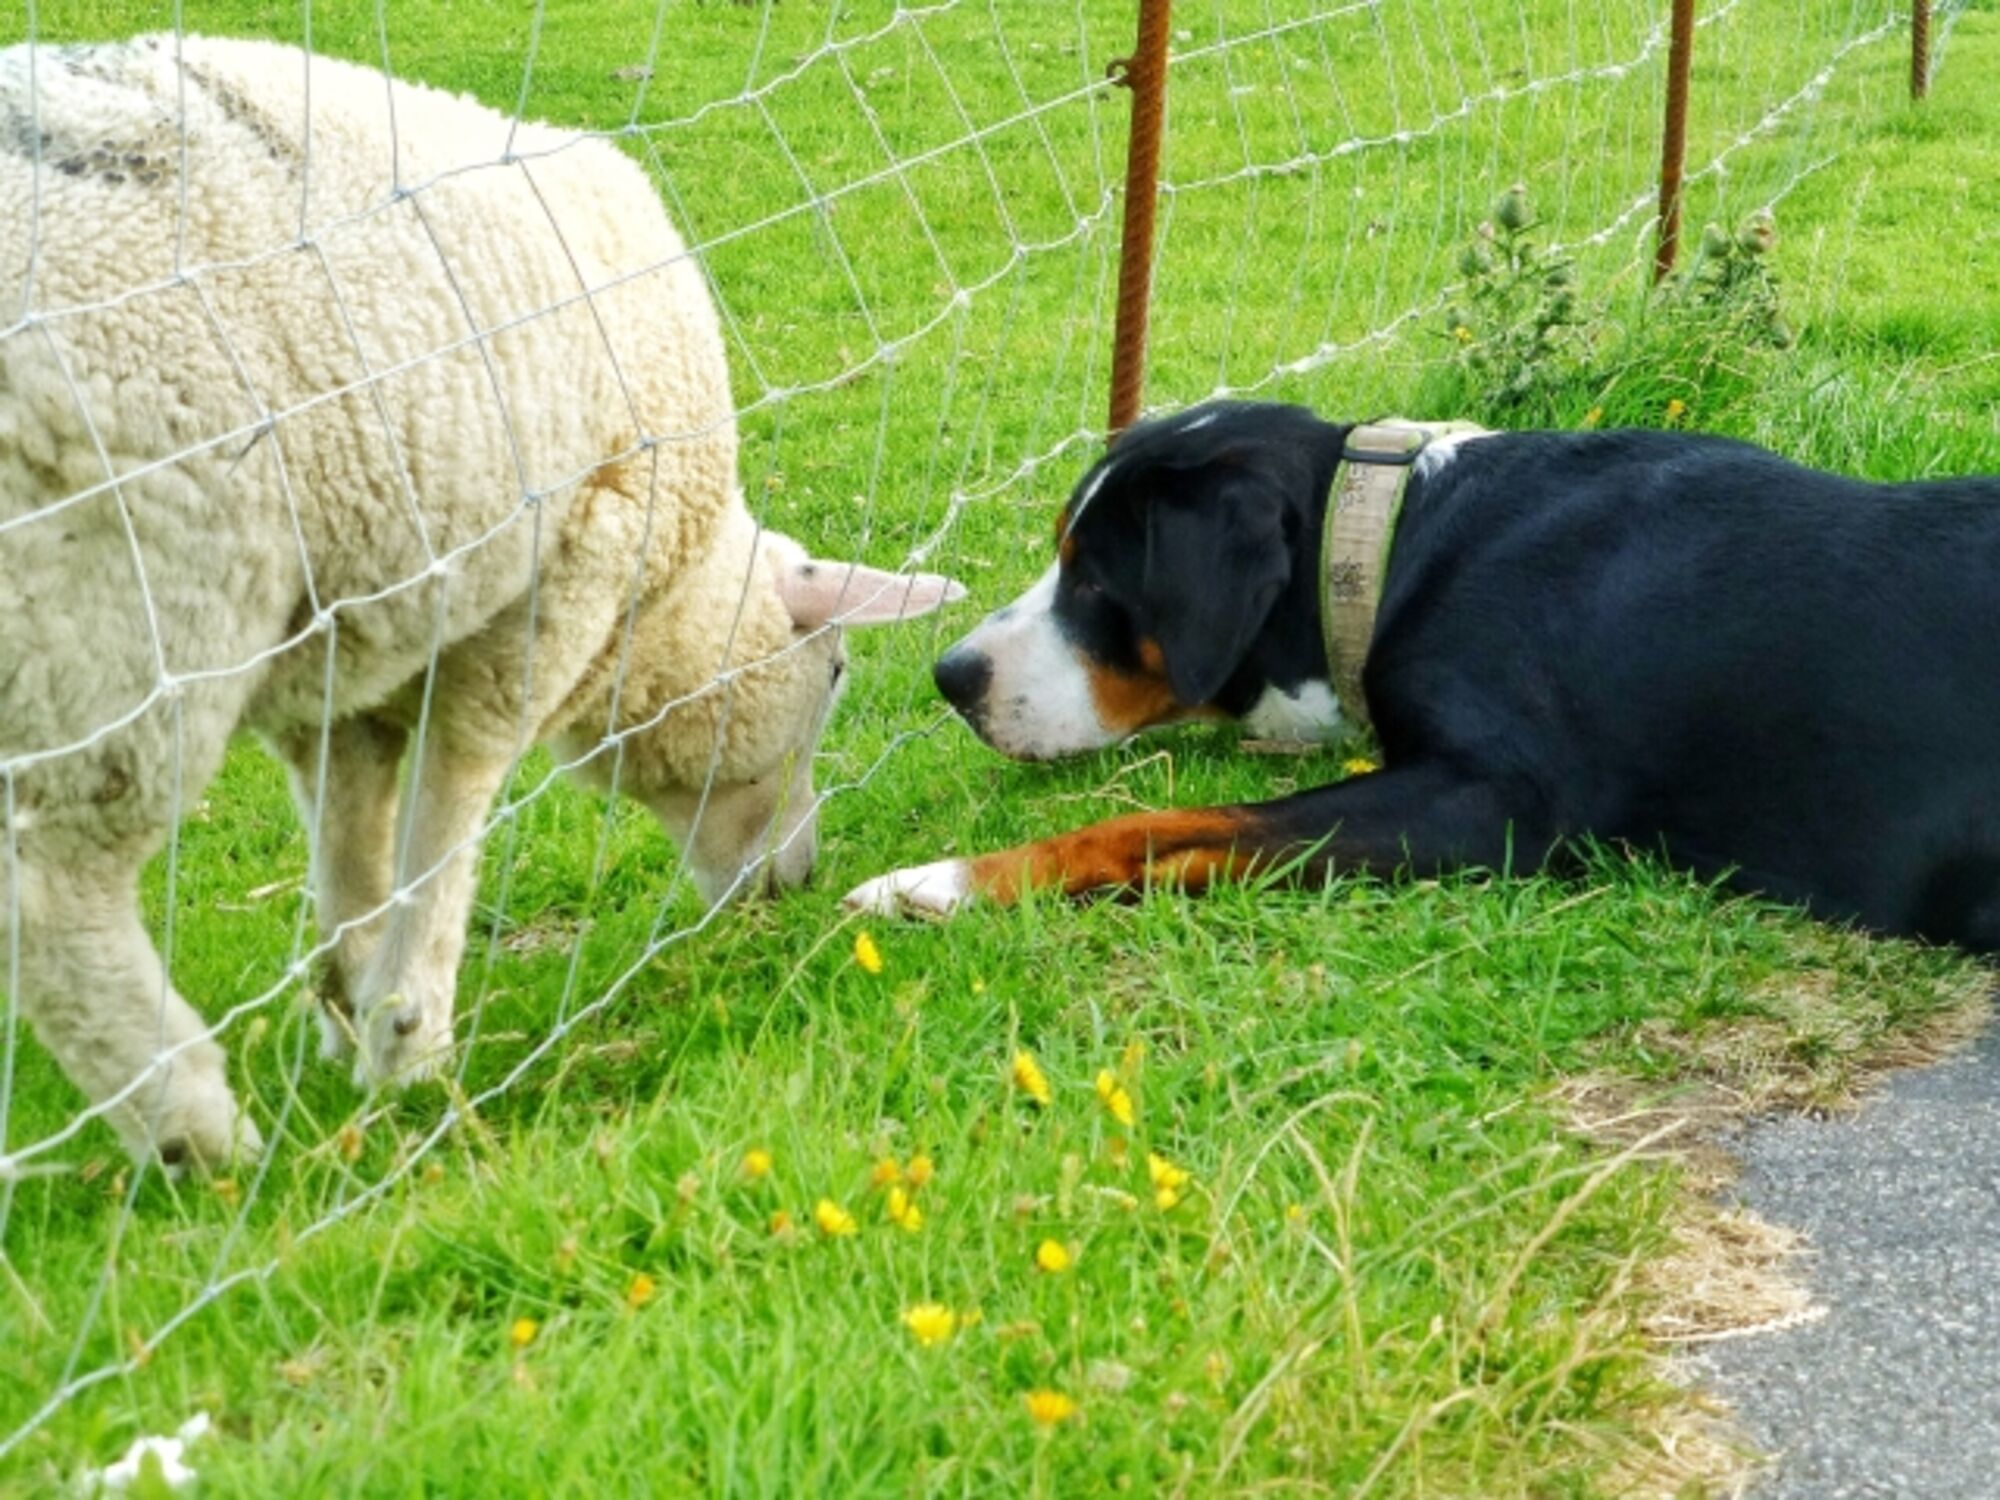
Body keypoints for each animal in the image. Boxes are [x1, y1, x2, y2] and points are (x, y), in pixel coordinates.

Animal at [0, 35, 962, 1171]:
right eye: (836, 673)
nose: (797, 882)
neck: (666, 600)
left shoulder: (354, 634)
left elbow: (351, 827)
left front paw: (352, 999)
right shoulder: (554, 583)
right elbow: (456, 794)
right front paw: (407, 1036)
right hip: (129, 608)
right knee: (56, 901)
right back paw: (203, 1136)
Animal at [846, 398, 2000, 953]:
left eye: (1093, 575)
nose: (950, 675)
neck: (1395, 538)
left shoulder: (1493, 802)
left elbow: (1162, 827)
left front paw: (936, 882)